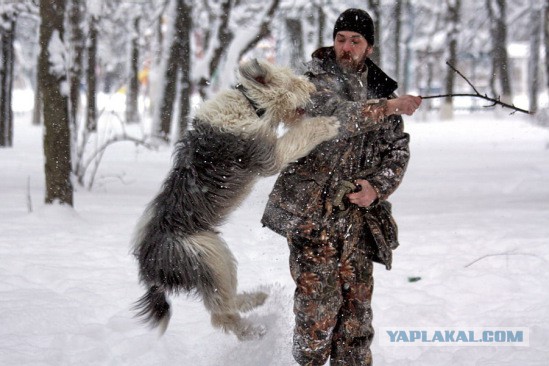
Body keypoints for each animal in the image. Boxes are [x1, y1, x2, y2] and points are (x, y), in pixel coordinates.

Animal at [132, 58, 338, 342]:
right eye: (293, 79)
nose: (313, 86)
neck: (251, 104)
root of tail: (149, 269)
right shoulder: (268, 155)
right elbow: (299, 135)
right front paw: (328, 124)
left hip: (218, 254)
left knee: (223, 305)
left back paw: (256, 300)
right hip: (207, 255)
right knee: (222, 313)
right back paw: (254, 328)